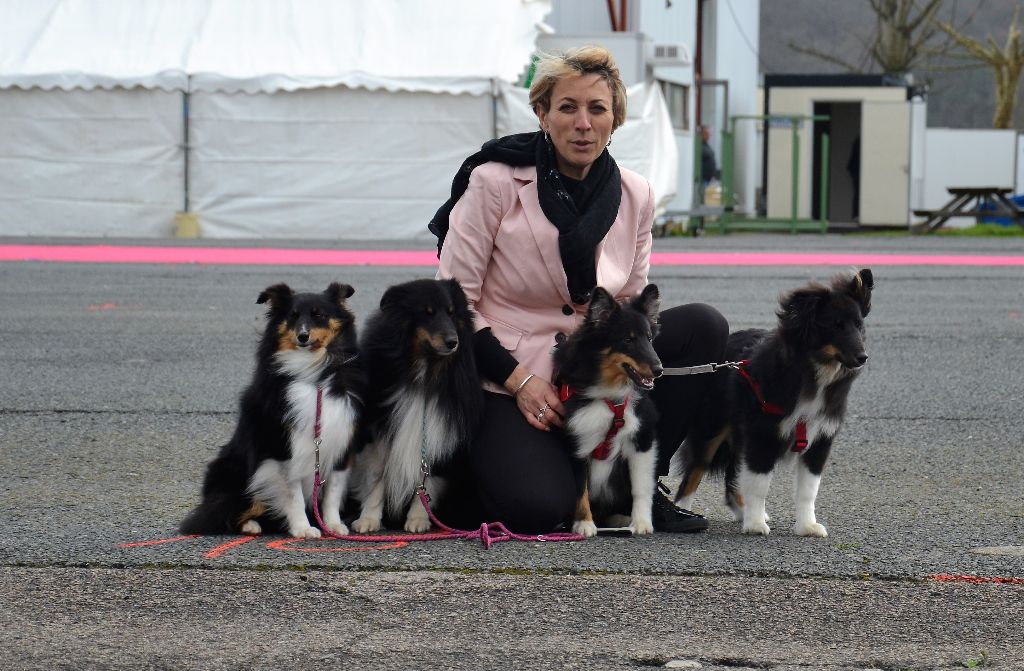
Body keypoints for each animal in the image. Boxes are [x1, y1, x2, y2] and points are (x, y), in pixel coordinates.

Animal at [182, 282, 366, 540]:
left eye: (319, 314)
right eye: (292, 316)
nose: (302, 336)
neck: (314, 374)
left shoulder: (341, 441)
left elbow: (333, 491)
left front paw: (333, 525)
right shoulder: (280, 447)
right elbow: (293, 492)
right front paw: (302, 528)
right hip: (237, 475)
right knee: (223, 513)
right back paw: (251, 526)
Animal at [350, 278, 481, 536]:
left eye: (452, 313)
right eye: (426, 313)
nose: (453, 342)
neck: (425, 371)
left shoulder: (439, 431)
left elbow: (427, 478)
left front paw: (419, 518)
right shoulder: (381, 429)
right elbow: (378, 476)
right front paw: (368, 520)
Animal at [552, 286, 663, 536]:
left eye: (649, 338)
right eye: (628, 339)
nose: (659, 370)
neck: (609, 395)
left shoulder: (642, 436)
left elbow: (641, 487)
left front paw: (641, 523)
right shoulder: (577, 441)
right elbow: (580, 489)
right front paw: (584, 524)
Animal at [671, 268, 872, 536]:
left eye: (859, 325)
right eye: (835, 325)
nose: (862, 357)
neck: (812, 371)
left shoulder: (820, 439)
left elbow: (808, 490)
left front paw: (807, 526)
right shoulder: (763, 432)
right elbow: (759, 483)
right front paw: (755, 524)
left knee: (732, 475)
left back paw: (741, 511)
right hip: (711, 428)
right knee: (694, 472)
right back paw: (684, 511)